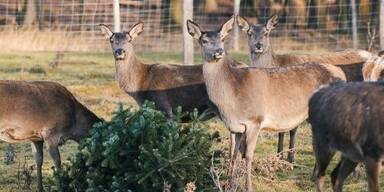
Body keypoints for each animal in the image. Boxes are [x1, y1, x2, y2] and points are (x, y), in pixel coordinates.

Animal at [188, 16, 346, 192]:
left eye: (222, 39)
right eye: (204, 41)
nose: (219, 52)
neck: (232, 99)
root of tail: (341, 73)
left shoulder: (255, 120)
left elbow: (248, 156)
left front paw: (248, 187)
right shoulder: (236, 127)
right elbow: (234, 155)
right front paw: (230, 185)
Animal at [236, 14, 374, 163]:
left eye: (266, 33)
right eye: (249, 33)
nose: (258, 45)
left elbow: (291, 129)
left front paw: (290, 158)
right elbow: (281, 129)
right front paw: (279, 156)